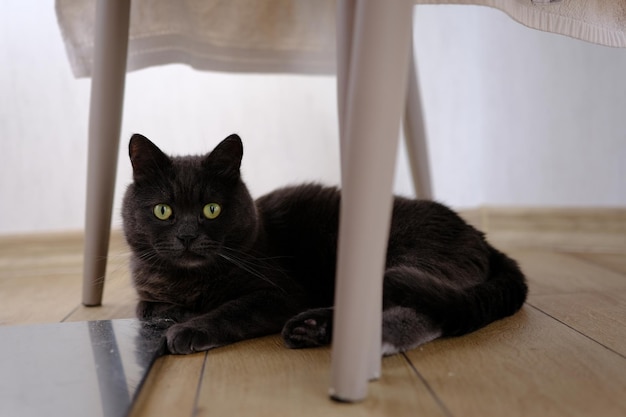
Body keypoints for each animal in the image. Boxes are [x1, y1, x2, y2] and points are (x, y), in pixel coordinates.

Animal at [122, 133, 528, 354]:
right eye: (163, 210)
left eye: (211, 209)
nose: (187, 236)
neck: (189, 281)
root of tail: (478, 235)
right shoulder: (147, 295)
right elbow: (149, 308)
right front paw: (179, 314)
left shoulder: (280, 292)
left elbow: (232, 310)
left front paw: (189, 328)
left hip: (409, 257)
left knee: (412, 306)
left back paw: (316, 328)